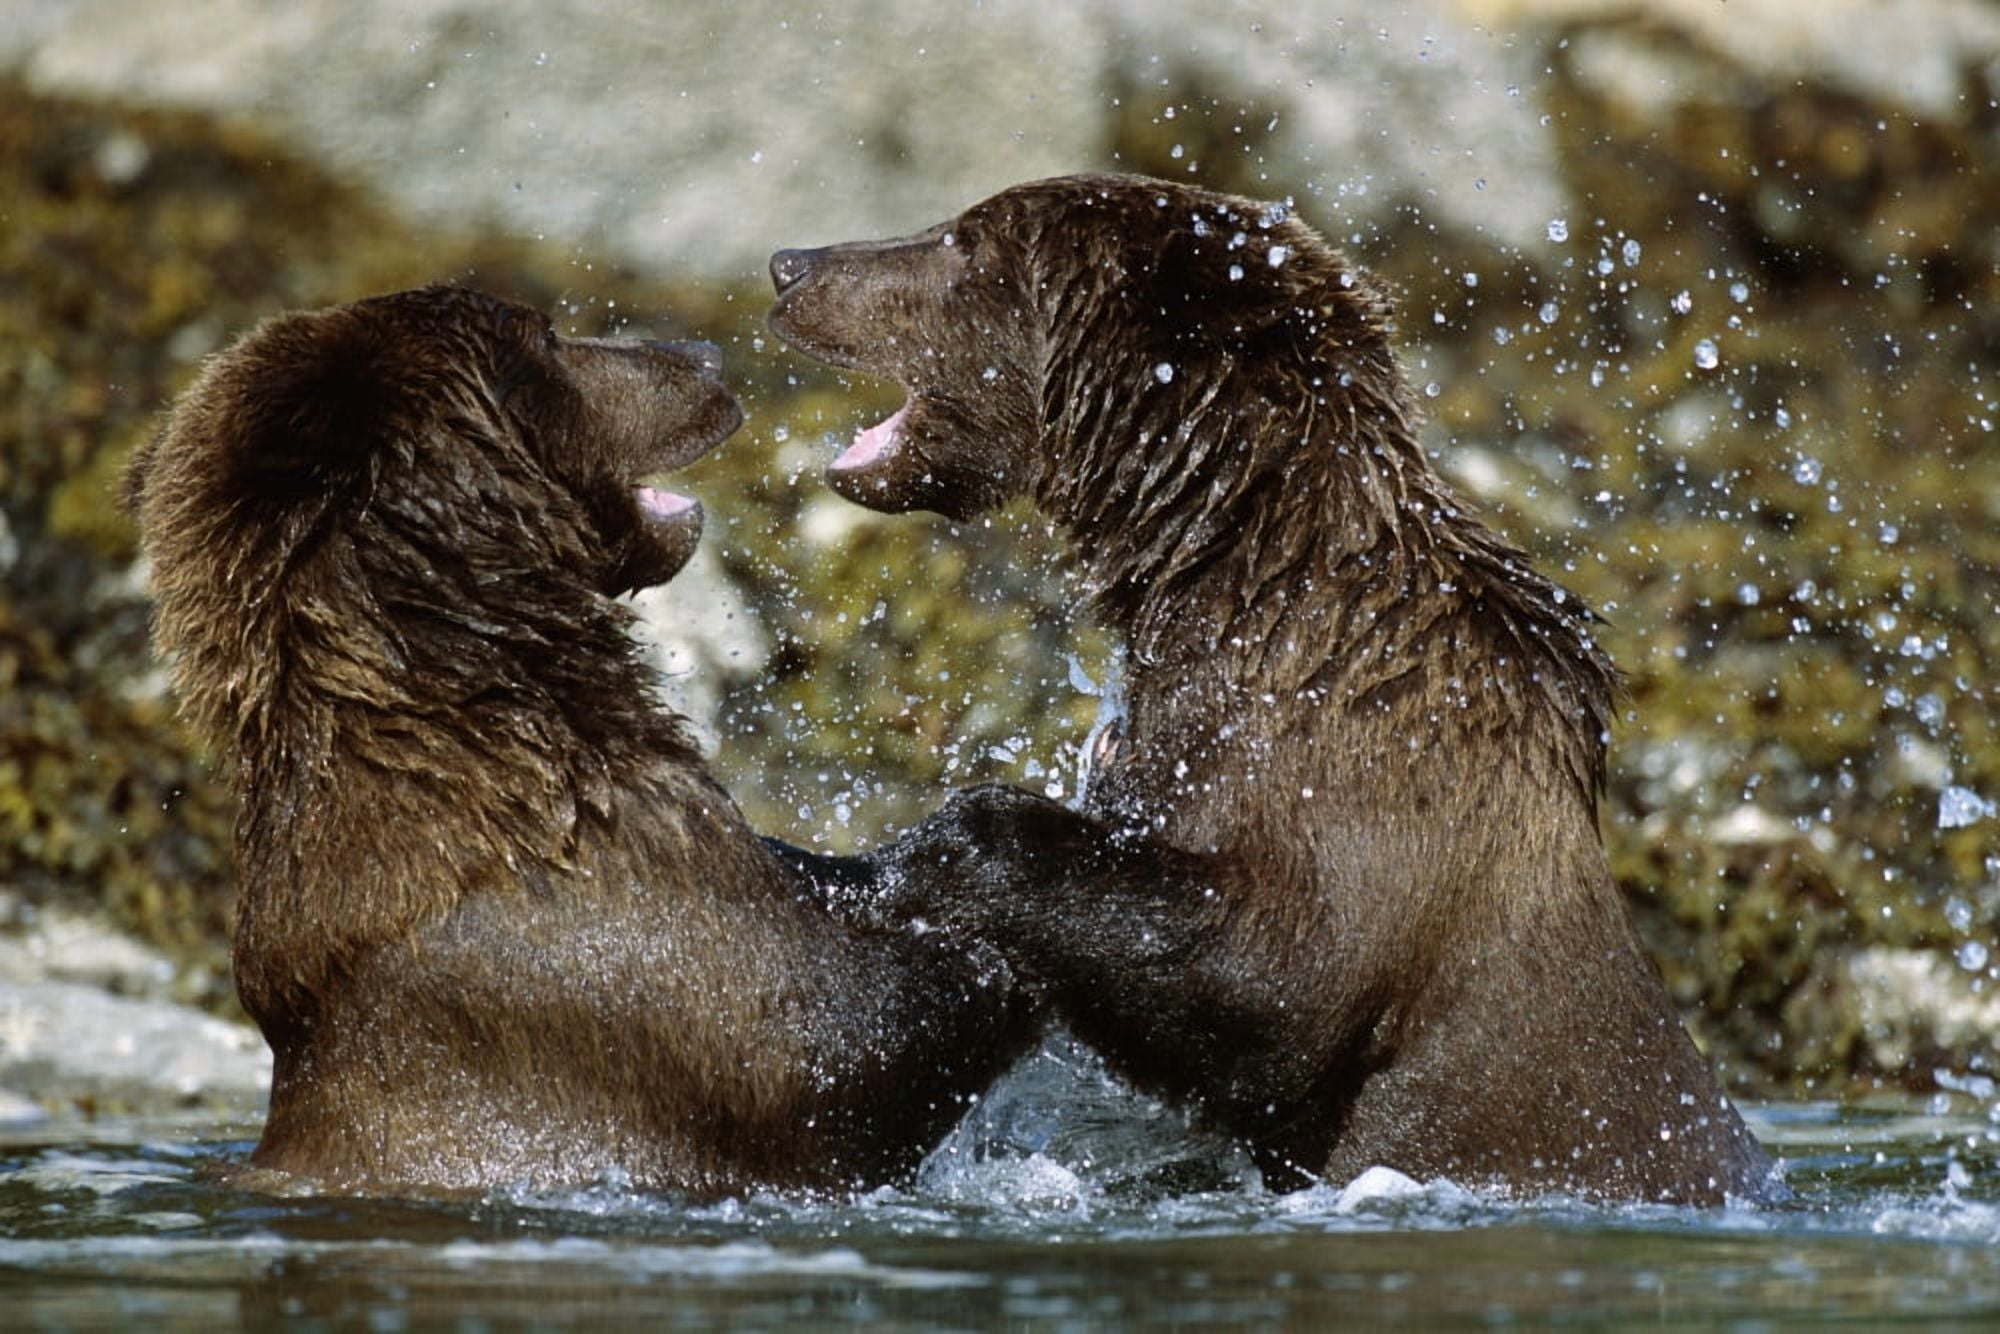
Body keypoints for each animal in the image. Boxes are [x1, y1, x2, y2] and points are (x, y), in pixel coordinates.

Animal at [765, 174, 1781, 1204]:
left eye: (965, 240)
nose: (789, 264)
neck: (1241, 575)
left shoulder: (1368, 766)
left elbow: (1275, 983)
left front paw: (923, 855)